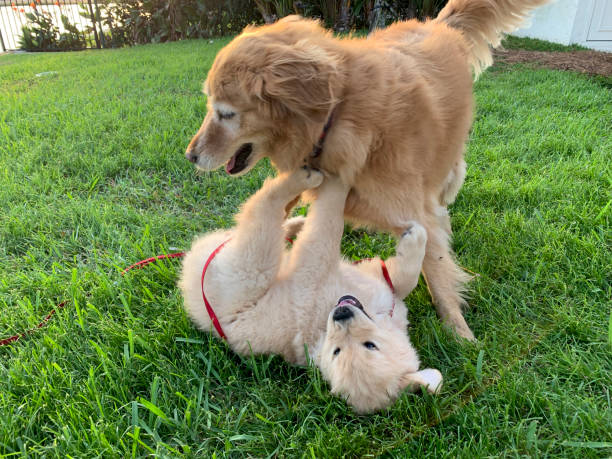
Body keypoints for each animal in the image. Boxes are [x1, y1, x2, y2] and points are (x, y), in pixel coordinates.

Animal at [177, 168, 440, 414]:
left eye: (368, 345)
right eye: (337, 351)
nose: (341, 314)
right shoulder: (322, 268)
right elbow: (333, 227)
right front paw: (416, 237)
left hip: (247, 267)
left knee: (260, 214)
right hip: (251, 268)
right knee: (267, 207)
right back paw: (299, 204)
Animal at [184, 0, 548, 342]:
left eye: (226, 114)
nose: (190, 156)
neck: (336, 113)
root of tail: (436, 24)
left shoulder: (414, 213)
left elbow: (436, 268)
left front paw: (459, 333)